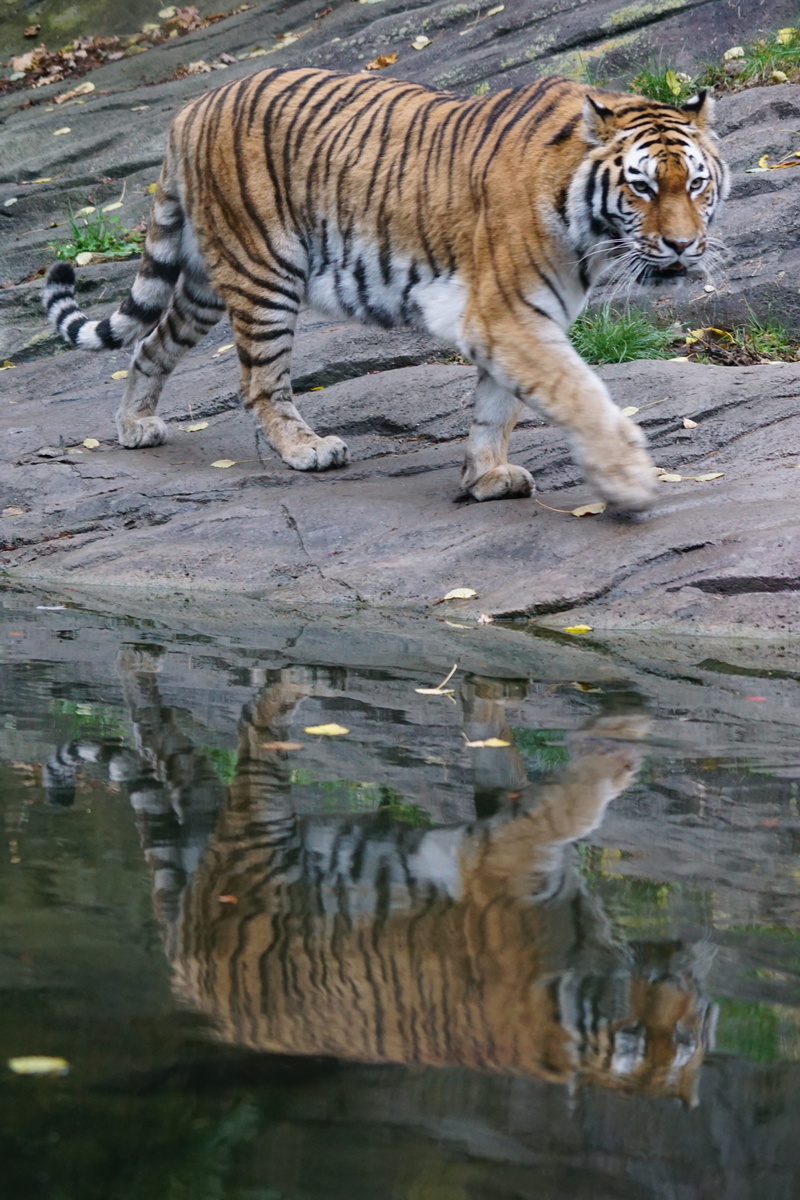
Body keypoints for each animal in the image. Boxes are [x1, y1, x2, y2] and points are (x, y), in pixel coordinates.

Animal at [42, 69, 728, 513]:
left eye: (695, 184)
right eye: (642, 187)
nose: (681, 246)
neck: (584, 221)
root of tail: (191, 107)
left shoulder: (518, 320)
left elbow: (496, 408)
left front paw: (484, 478)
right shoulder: (507, 315)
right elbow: (579, 393)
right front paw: (628, 480)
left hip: (209, 281)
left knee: (150, 344)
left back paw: (136, 424)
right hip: (264, 273)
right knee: (259, 380)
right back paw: (307, 449)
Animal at [48, 651, 714, 1102]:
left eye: (694, 1033)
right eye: (652, 1038)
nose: (688, 979)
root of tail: (189, 977)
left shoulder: (501, 822)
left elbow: (495, 747)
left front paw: (489, 692)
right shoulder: (510, 852)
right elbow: (591, 790)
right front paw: (627, 718)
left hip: (202, 813)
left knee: (159, 737)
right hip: (261, 824)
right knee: (253, 720)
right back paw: (306, 679)